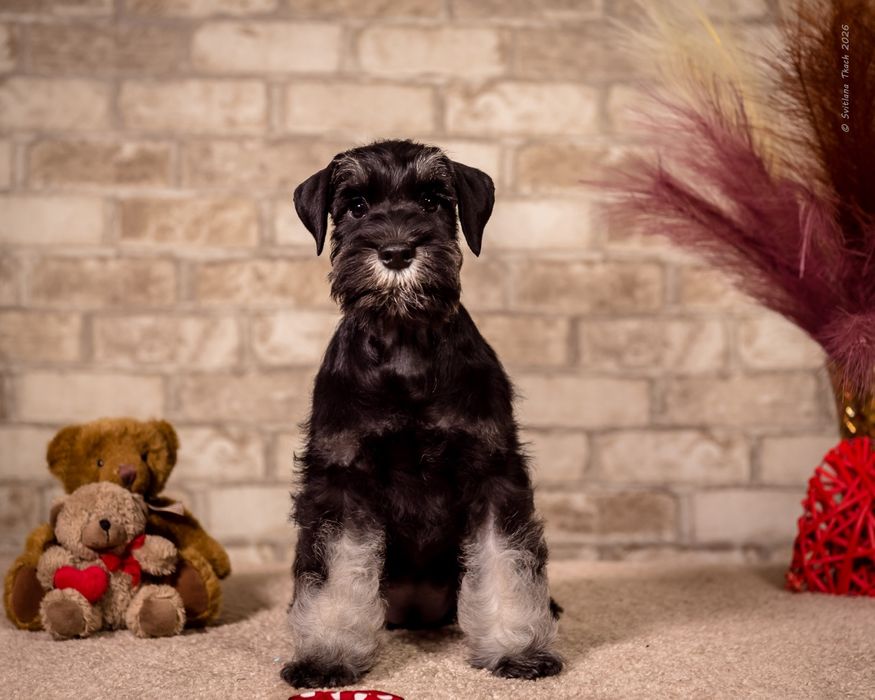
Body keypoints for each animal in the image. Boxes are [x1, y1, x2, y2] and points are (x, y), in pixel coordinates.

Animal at [281, 140, 563, 688]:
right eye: (356, 206)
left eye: (433, 201)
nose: (396, 252)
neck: (405, 344)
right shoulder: (341, 478)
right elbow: (335, 571)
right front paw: (325, 656)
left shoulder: (493, 471)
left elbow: (506, 560)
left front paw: (518, 650)